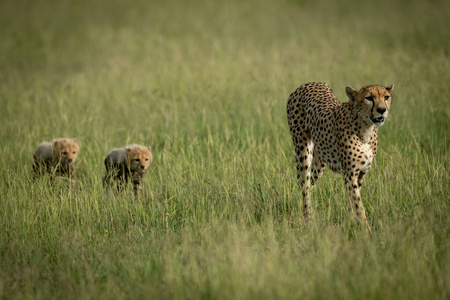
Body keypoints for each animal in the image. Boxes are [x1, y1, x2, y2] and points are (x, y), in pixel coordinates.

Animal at [288, 82, 394, 227]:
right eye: (369, 98)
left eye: (386, 97)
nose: (382, 110)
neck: (366, 129)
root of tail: (307, 84)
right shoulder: (350, 174)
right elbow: (358, 205)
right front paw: (366, 229)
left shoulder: (360, 174)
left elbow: (352, 201)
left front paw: (348, 223)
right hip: (302, 151)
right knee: (304, 184)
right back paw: (308, 218)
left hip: (320, 163)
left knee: (310, 183)